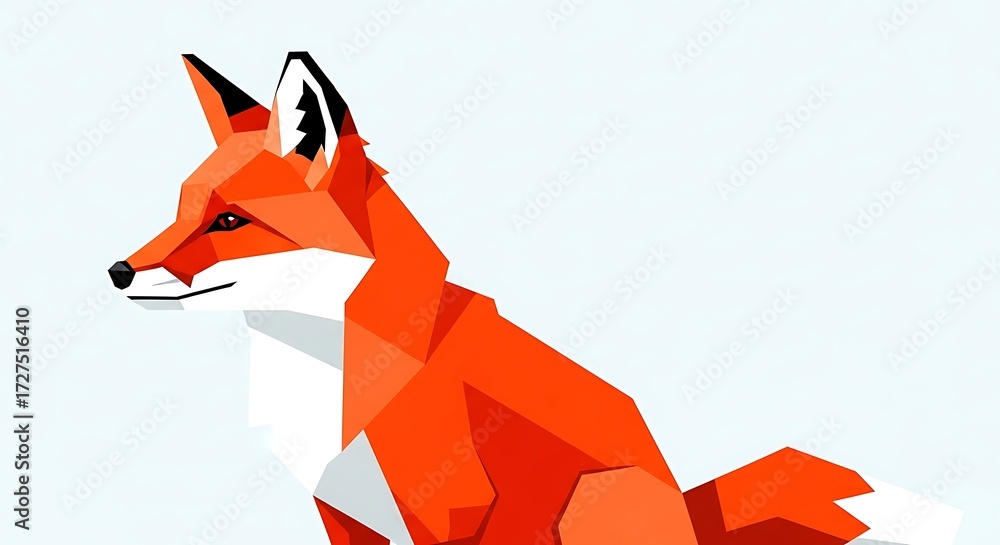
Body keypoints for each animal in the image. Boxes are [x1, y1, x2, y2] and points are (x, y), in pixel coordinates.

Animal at [108, 52, 963, 545]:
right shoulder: (343, 512)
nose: (117, 272)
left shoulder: (453, 512)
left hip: (586, 506)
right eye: (180, 209)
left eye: (230, 222)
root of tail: (695, 516)